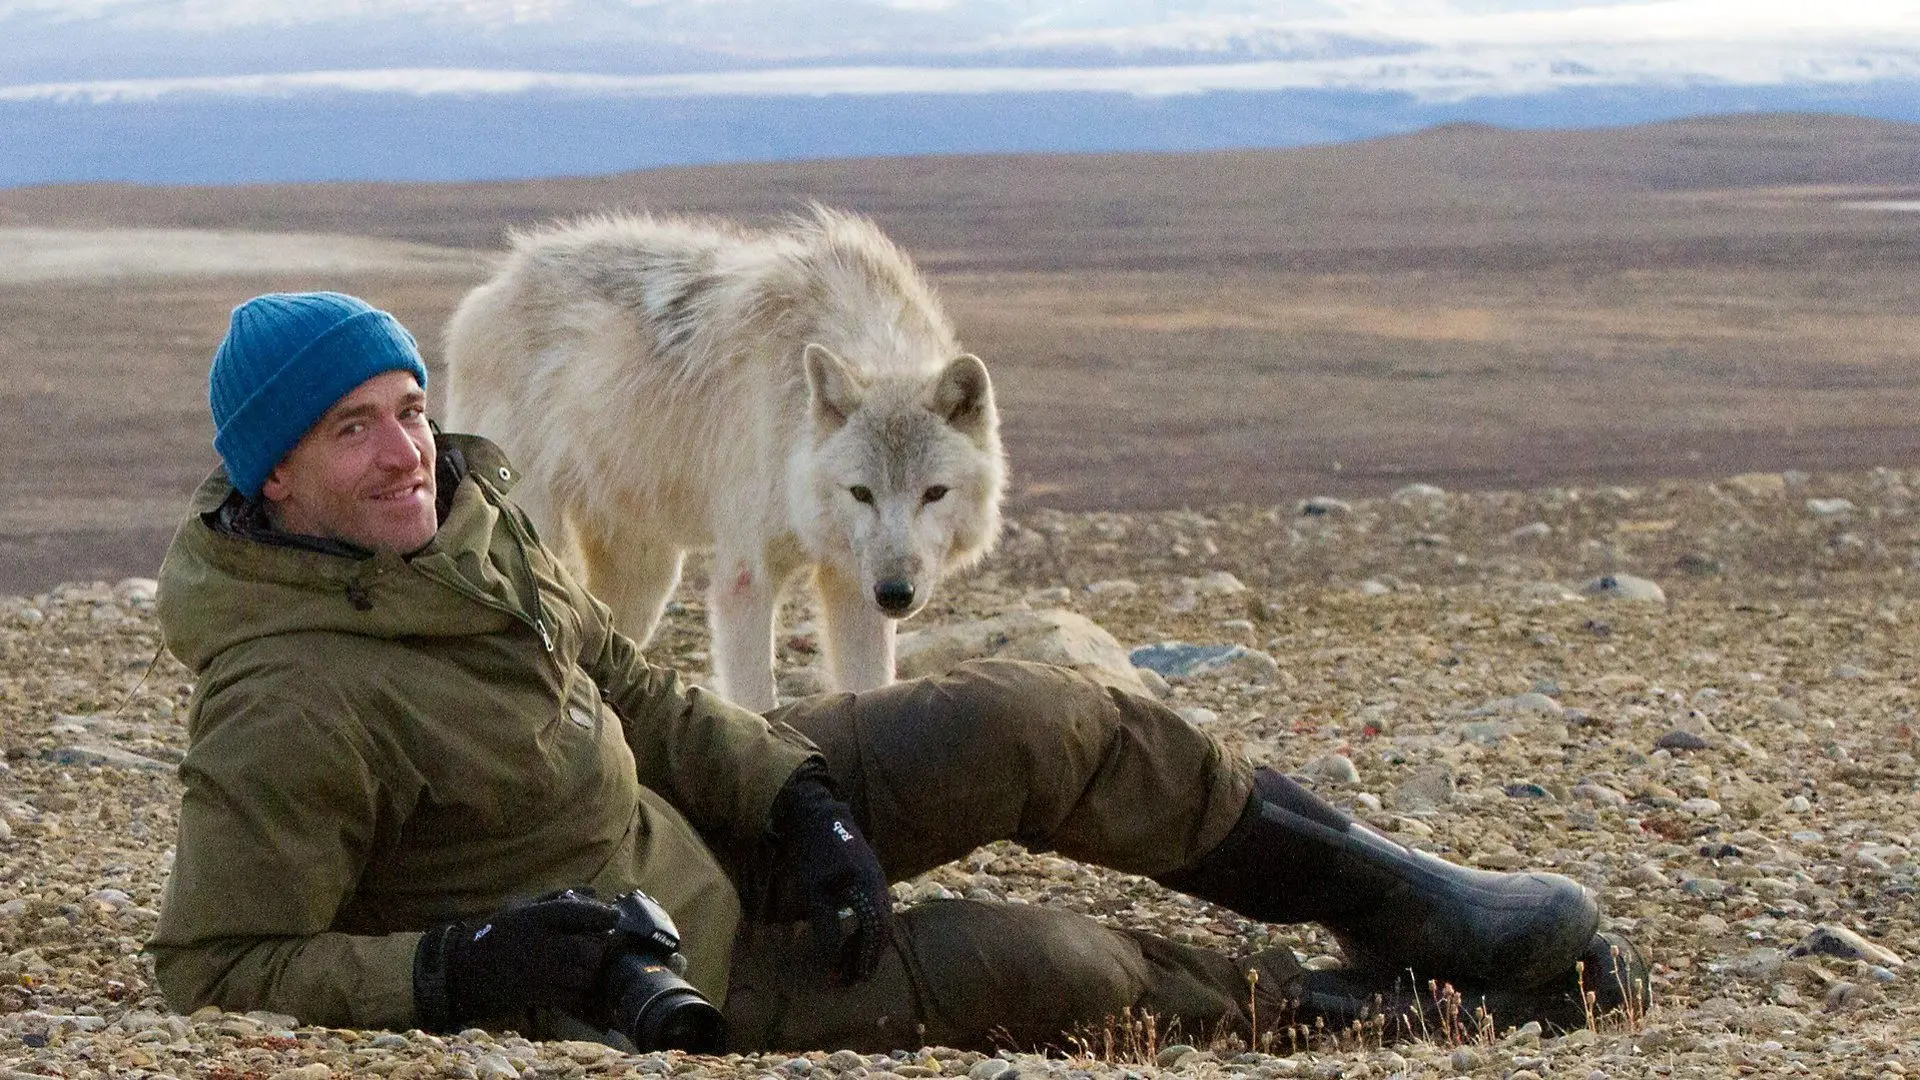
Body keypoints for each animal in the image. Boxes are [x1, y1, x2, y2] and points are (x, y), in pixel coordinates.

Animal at [441, 206, 1006, 711]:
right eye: (861, 492)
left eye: (934, 493)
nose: (895, 593)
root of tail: (491, 288)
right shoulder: (746, 578)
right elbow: (757, 702)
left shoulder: (850, 584)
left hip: (645, 578)